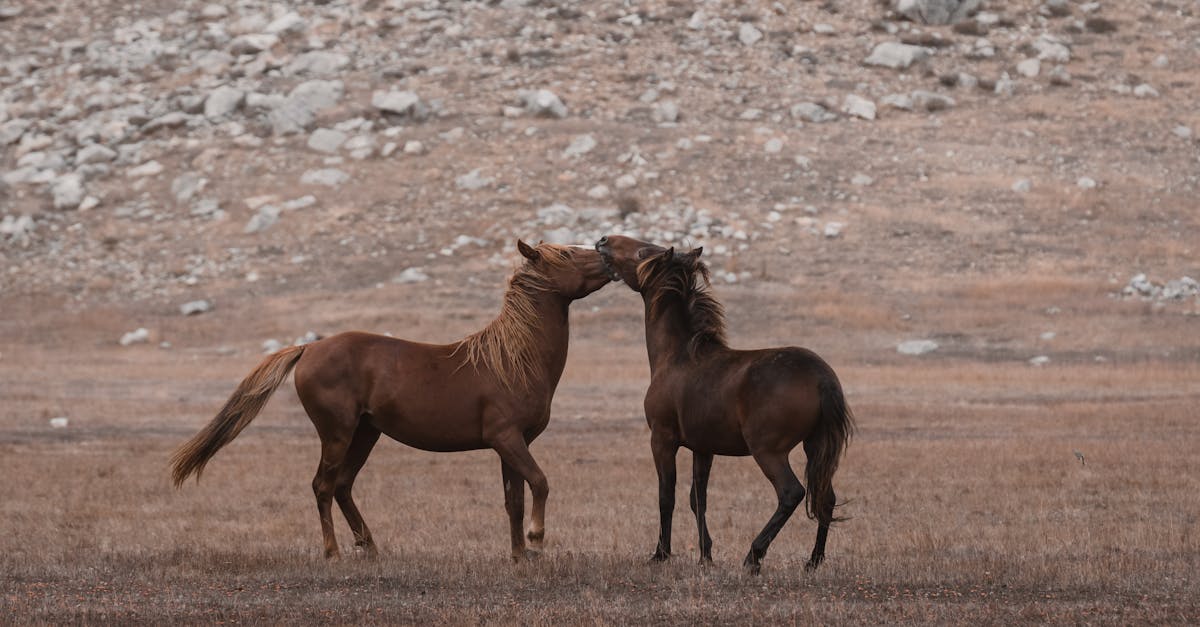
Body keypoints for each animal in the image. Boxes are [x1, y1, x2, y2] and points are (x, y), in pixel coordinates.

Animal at [171, 241, 609, 559]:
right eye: (567, 253)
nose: (605, 253)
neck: (514, 359)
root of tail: (308, 348)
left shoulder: (514, 444)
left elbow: (513, 499)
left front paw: (520, 558)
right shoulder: (507, 438)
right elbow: (540, 483)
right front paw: (536, 539)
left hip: (366, 433)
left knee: (342, 485)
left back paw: (370, 547)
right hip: (337, 433)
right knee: (322, 486)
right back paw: (333, 553)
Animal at [597, 234, 859, 571]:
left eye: (643, 252)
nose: (603, 240)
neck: (676, 357)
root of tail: (821, 377)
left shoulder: (662, 440)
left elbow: (666, 496)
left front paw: (661, 554)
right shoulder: (703, 448)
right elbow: (698, 499)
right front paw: (705, 556)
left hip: (769, 451)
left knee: (792, 493)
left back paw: (754, 556)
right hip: (816, 446)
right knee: (825, 497)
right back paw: (813, 561)